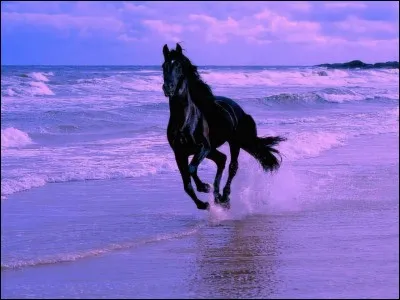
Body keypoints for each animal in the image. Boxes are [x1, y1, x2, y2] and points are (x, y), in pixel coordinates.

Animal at [161, 43, 286, 210]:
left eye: (179, 66)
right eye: (164, 66)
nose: (168, 88)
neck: (185, 121)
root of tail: (238, 109)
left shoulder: (203, 147)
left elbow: (192, 168)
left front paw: (203, 187)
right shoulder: (179, 153)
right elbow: (186, 184)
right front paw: (203, 204)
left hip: (234, 142)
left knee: (232, 166)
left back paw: (224, 197)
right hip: (214, 150)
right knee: (222, 159)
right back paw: (218, 197)